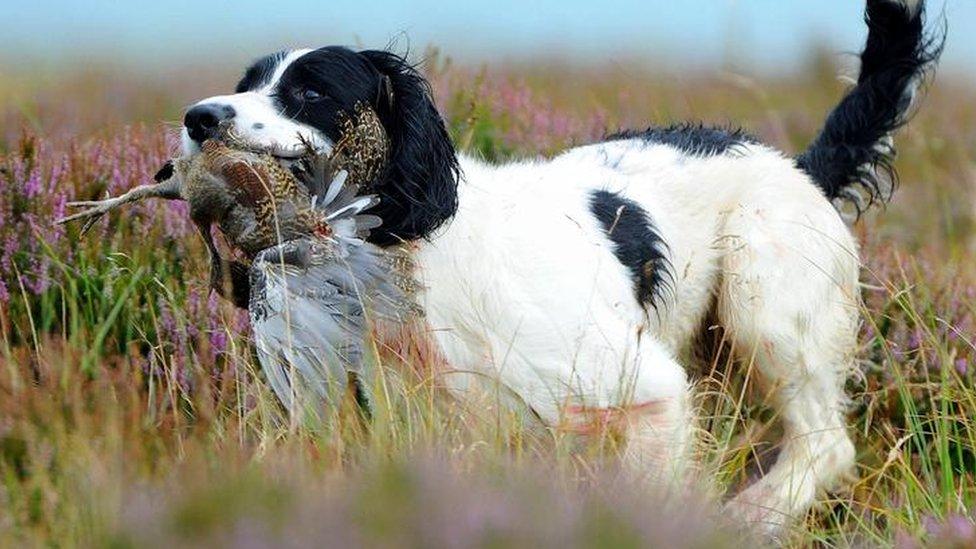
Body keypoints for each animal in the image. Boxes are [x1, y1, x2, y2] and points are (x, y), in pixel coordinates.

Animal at [181, 0, 936, 532]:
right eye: (247, 83)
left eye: (311, 92)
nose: (198, 117)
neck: (412, 265)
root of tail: (795, 165)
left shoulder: (647, 393)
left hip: (766, 306)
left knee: (825, 443)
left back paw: (747, 519)